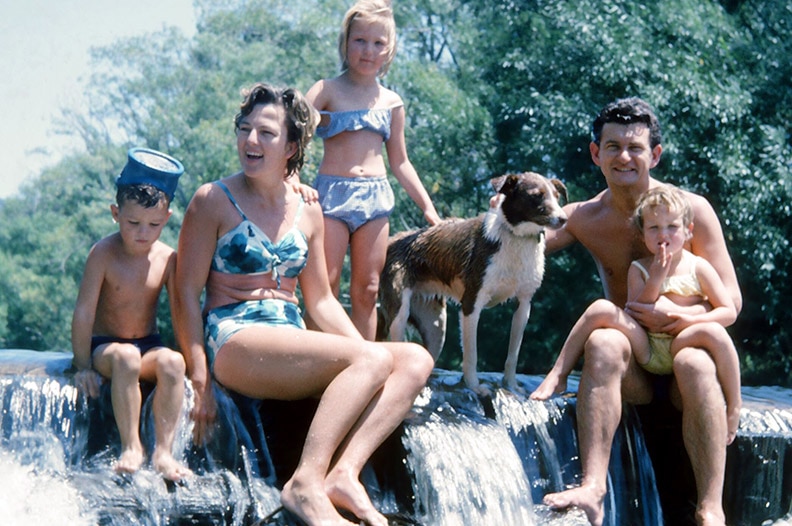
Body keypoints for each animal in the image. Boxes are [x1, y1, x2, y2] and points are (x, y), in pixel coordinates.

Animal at [380, 173, 568, 396]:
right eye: (536, 195)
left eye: (557, 196)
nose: (564, 219)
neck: (516, 235)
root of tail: (392, 240)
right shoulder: (471, 304)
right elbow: (471, 354)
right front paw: (474, 387)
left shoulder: (524, 305)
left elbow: (513, 355)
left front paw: (511, 386)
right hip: (399, 315)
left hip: (436, 328)